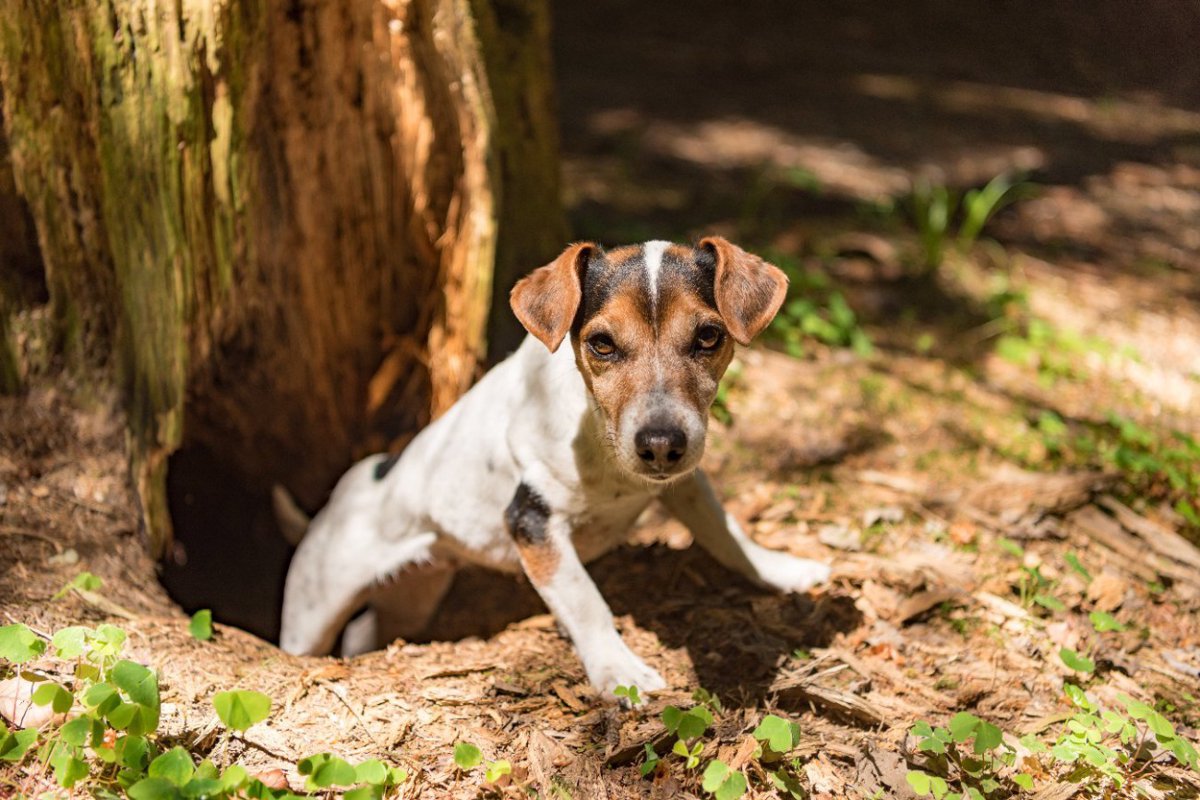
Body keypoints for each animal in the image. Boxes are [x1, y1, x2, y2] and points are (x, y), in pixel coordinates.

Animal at [277, 236, 830, 695]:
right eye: (602, 344)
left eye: (710, 336)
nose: (660, 445)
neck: (601, 445)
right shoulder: (532, 522)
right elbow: (585, 599)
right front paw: (617, 671)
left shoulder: (686, 486)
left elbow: (727, 534)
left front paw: (779, 568)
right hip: (313, 611)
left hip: (412, 601)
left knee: (363, 633)